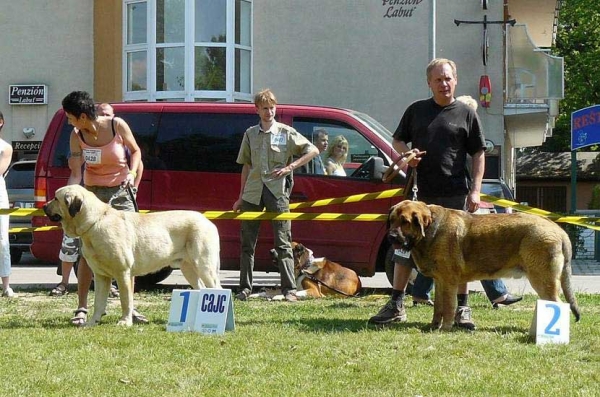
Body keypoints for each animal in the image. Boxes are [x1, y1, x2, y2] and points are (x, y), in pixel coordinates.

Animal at [386, 200, 580, 330]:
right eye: (392, 220)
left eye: (405, 222)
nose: (391, 236)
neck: (429, 231)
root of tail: (559, 230)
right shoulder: (441, 281)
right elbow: (438, 307)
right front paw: (434, 325)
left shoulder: (448, 281)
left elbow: (448, 307)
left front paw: (445, 328)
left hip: (542, 279)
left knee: (558, 304)